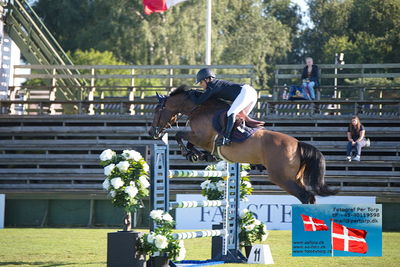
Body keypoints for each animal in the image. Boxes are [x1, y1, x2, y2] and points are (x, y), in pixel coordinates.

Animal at [148, 85, 340, 204]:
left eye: (157, 110)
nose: (152, 132)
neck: (199, 107)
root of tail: (298, 144)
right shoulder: (200, 138)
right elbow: (188, 141)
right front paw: (200, 155)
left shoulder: (201, 137)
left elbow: (179, 135)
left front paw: (190, 153)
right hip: (295, 177)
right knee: (310, 197)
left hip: (281, 177)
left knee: (305, 196)